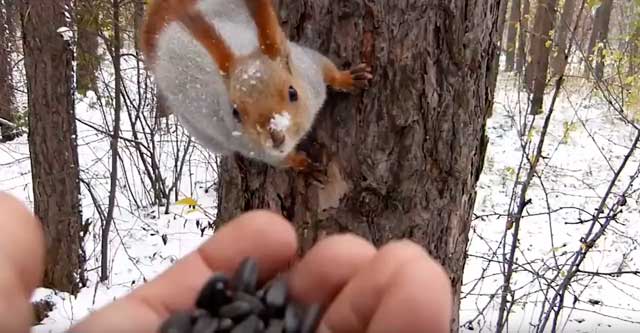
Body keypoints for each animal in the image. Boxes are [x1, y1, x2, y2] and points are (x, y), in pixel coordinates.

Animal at [138, 0, 372, 170]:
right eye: (235, 113)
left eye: (293, 93)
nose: (276, 137)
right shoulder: (250, 146)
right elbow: (278, 160)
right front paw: (300, 163)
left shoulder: (309, 68)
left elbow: (328, 70)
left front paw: (349, 78)